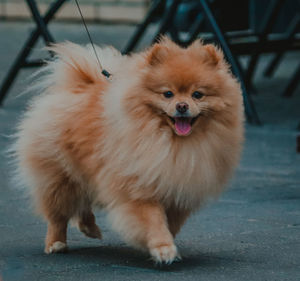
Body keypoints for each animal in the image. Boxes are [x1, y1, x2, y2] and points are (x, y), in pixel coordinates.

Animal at [13, 36, 244, 262]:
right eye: (168, 94)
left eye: (197, 95)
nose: (182, 106)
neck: (172, 143)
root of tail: (79, 85)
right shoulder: (139, 187)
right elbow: (153, 220)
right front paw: (163, 248)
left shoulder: (178, 192)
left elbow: (171, 223)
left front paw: (164, 242)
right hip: (59, 176)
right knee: (58, 213)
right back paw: (56, 243)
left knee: (83, 200)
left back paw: (89, 228)